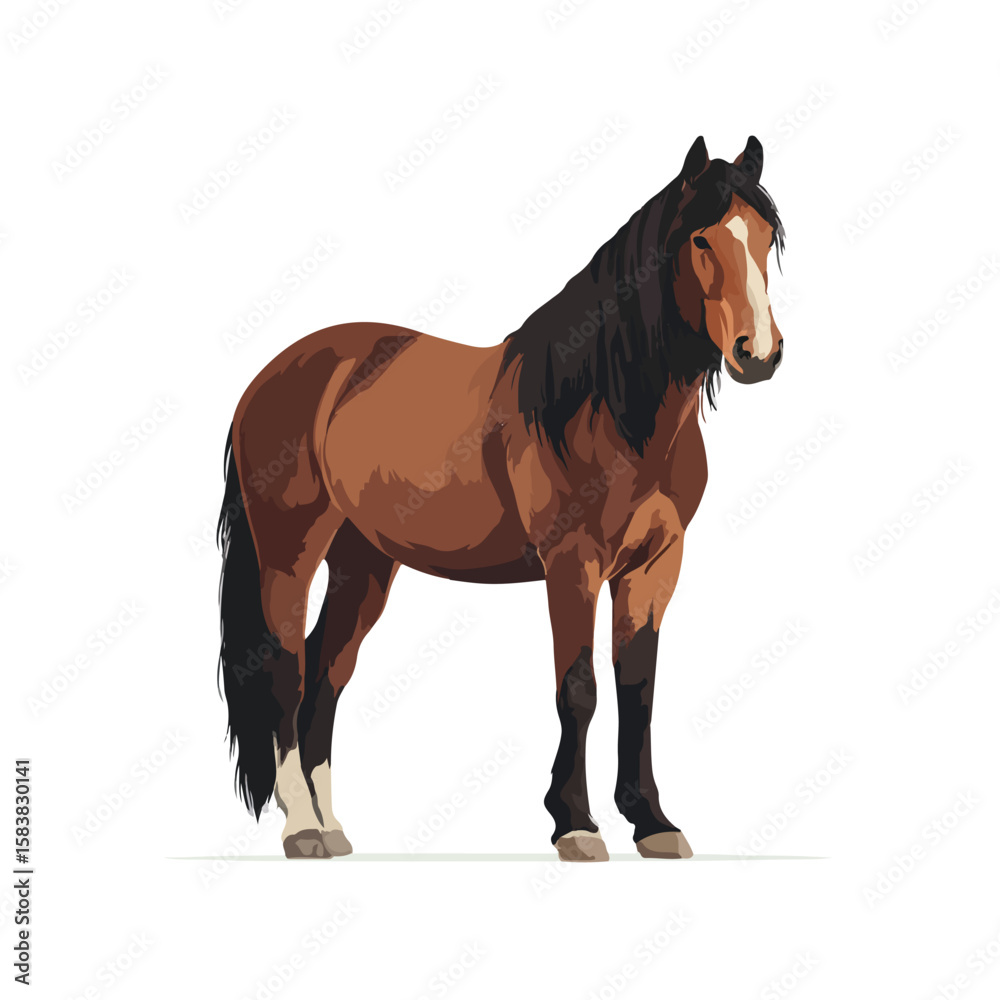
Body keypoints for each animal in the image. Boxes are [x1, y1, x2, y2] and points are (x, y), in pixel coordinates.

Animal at [216, 135, 786, 861]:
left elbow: (638, 687)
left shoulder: (656, 566)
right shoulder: (572, 564)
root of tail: (269, 377)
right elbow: (579, 687)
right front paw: (575, 823)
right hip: (290, 550)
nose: (759, 353)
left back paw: (334, 826)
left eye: (766, 237)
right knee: (285, 667)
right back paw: (302, 828)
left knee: (327, 670)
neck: (602, 400)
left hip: (363, 561)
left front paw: (653, 822)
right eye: (702, 239)